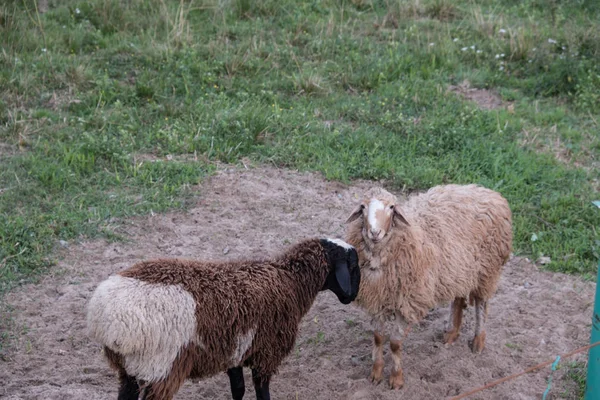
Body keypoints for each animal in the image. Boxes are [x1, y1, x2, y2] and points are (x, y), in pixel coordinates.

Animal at [86, 238, 358, 400]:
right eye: (354, 267)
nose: (352, 296)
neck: (289, 281)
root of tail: (105, 317)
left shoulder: (234, 348)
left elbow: (238, 388)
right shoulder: (267, 353)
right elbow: (262, 392)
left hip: (130, 369)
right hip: (162, 365)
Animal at [344, 186, 512, 390]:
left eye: (391, 207)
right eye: (362, 207)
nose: (375, 233)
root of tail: (491, 193)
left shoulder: (408, 302)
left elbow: (394, 343)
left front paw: (396, 379)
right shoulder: (378, 299)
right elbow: (378, 337)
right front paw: (376, 374)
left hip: (487, 271)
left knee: (482, 304)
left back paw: (478, 341)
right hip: (459, 269)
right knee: (458, 298)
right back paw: (451, 333)